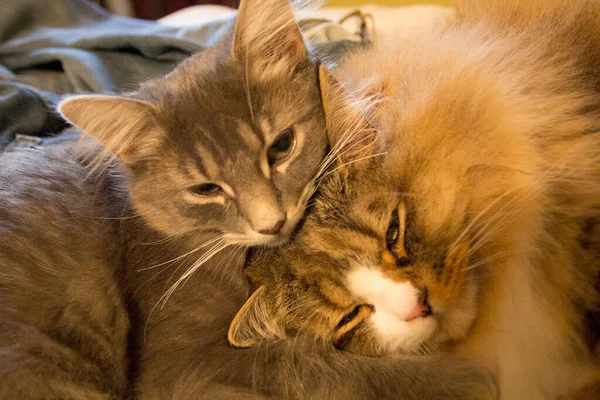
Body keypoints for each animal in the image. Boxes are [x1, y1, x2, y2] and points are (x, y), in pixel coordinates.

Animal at [0, 0, 496, 398]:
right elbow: (319, 366)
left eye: (281, 146)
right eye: (206, 189)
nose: (271, 223)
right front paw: (461, 376)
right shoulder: (181, 365)